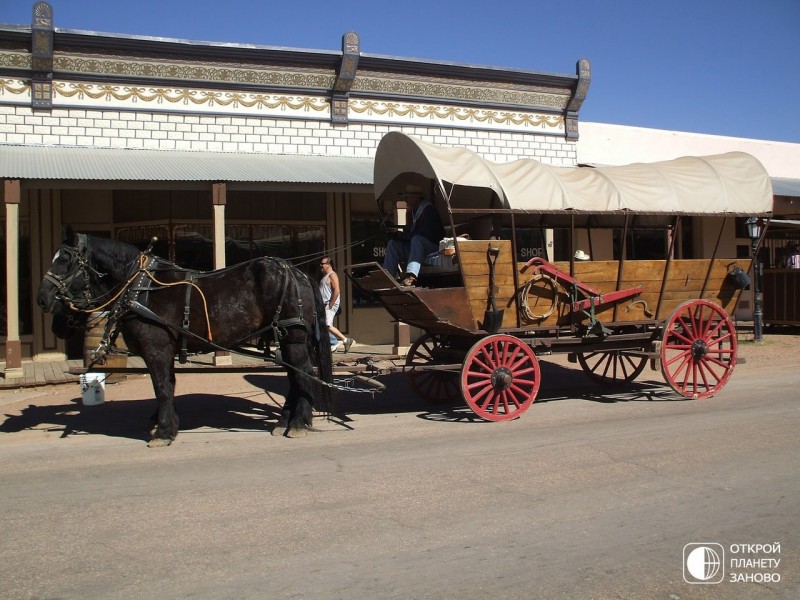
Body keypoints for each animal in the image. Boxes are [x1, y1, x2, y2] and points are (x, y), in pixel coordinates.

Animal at [35, 230, 332, 446]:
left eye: (64, 260)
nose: (42, 298)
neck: (140, 287)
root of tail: (298, 273)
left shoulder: (157, 348)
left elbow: (162, 387)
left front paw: (164, 431)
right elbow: (167, 386)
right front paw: (162, 423)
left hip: (293, 338)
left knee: (303, 374)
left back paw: (298, 423)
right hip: (285, 337)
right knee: (295, 377)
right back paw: (285, 421)